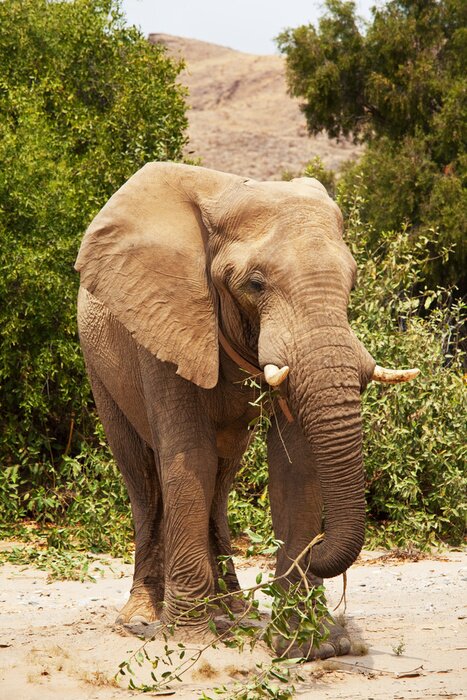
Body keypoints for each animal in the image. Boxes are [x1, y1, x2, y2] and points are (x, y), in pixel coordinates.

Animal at [75, 162, 418, 660]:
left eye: (352, 282)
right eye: (255, 284)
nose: (318, 550)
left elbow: (294, 467)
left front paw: (309, 646)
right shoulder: (167, 318)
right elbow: (189, 459)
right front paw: (190, 639)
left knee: (222, 479)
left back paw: (234, 612)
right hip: (99, 365)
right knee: (142, 478)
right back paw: (142, 617)